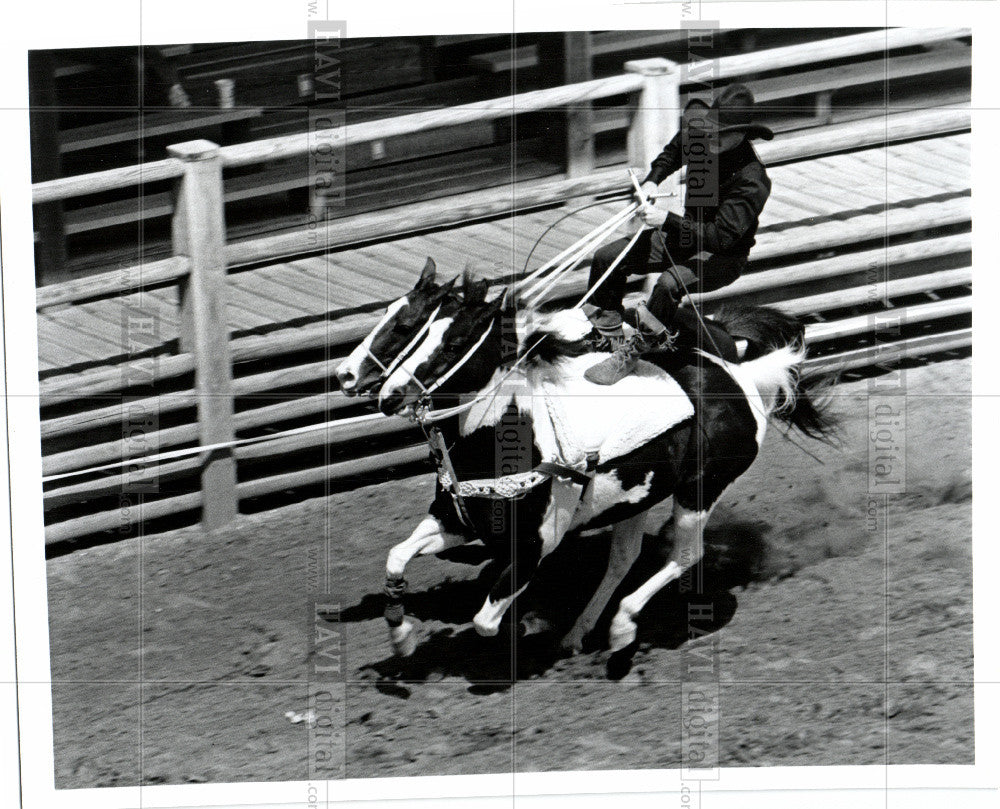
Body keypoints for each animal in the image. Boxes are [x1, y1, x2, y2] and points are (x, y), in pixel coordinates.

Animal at [360, 272, 836, 656]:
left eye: (453, 342)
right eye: (418, 334)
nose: (390, 394)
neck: (507, 438)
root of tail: (740, 377)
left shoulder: (536, 545)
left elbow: (485, 621)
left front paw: (525, 628)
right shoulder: (457, 520)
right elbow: (396, 557)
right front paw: (401, 639)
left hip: (701, 490)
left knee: (686, 554)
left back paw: (622, 628)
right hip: (636, 499)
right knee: (623, 560)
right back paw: (578, 632)